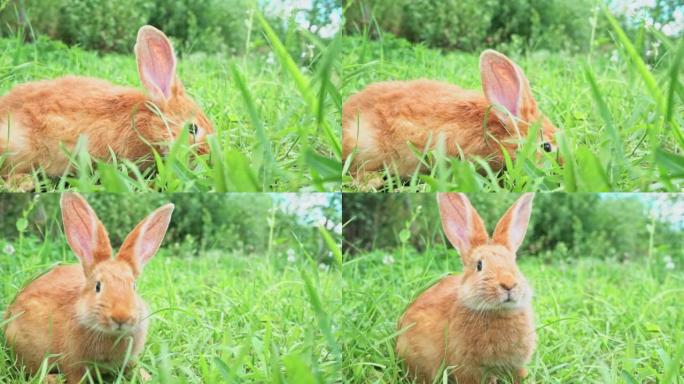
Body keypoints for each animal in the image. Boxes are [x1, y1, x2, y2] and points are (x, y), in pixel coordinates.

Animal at [3, 194, 174, 382]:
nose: (121, 317)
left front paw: (149, 377)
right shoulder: (74, 364)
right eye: (97, 286)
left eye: (134, 287)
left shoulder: (130, 359)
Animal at [396, 194, 540, 382]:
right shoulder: (469, 370)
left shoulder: (516, 365)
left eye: (514, 264)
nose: (508, 284)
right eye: (479, 265)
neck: (498, 311)